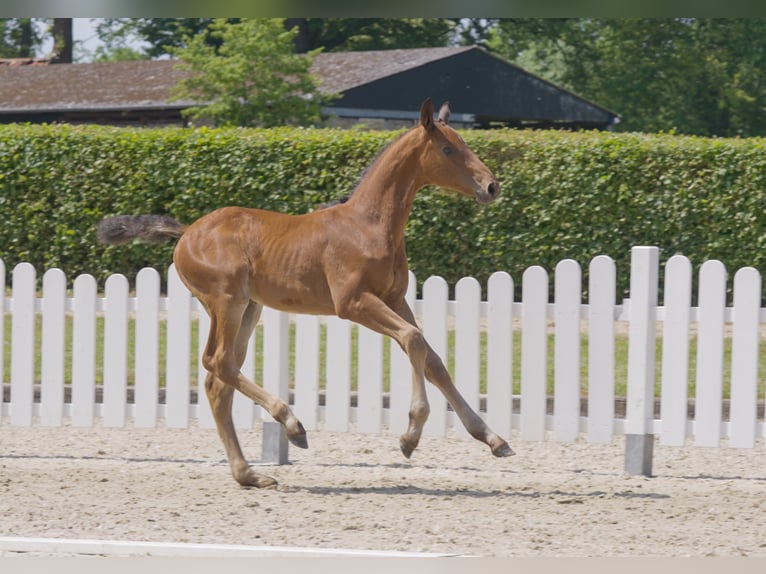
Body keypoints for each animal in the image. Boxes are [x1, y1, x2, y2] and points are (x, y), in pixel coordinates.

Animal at [97, 99, 516, 490]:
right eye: (447, 149)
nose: (491, 186)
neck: (369, 225)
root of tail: (185, 233)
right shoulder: (353, 303)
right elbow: (414, 341)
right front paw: (410, 436)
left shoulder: (395, 300)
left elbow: (433, 360)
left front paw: (493, 439)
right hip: (226, 301)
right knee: (218, 362)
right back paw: (292, 425)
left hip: (249, 308)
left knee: (218, 381)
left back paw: (249, 473)